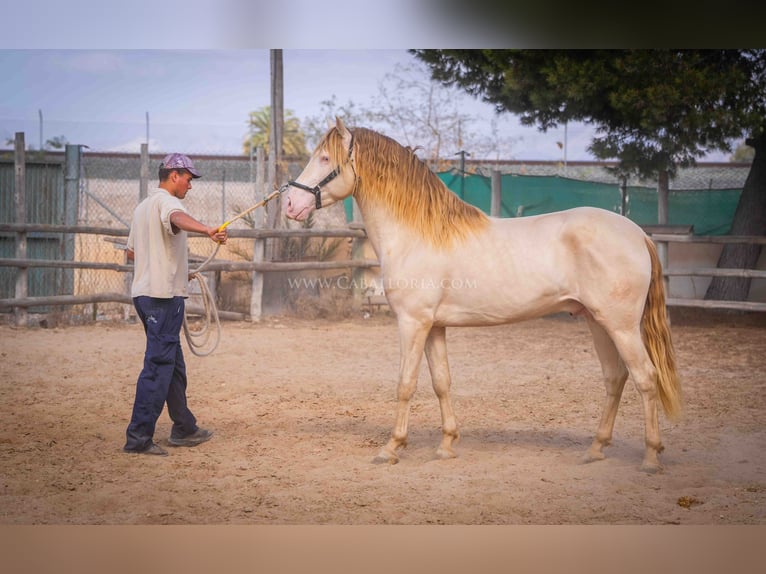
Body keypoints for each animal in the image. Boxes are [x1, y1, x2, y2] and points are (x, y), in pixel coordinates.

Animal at [284, 117, 684, 472]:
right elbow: (441, 382)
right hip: (598, 323)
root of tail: (638, 233)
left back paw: (650, 458)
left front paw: (391, 448)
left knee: (646, 379)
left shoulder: (412, 323)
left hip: (621, 326)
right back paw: (596, 450)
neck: (418, 233)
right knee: (615, 378)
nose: (290, 205)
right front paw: (446, 445)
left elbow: (405, 384)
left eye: (325, 158)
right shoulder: (434, 326)